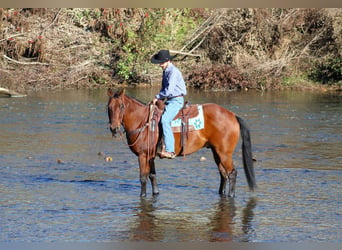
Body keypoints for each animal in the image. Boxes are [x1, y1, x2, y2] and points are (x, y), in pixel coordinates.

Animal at [107, 88, 256, 197]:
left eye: (121, 106)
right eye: (109, 107)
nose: (113, 128)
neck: (143, 122)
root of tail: (232, 115)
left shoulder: (143, 155)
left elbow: (143, 178)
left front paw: (142, 196)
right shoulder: (150, 156)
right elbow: (152, 175)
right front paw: (156, 193)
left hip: (224, 153)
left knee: (232, 173)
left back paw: (231, 195)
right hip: (216, 152)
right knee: (223, 174)